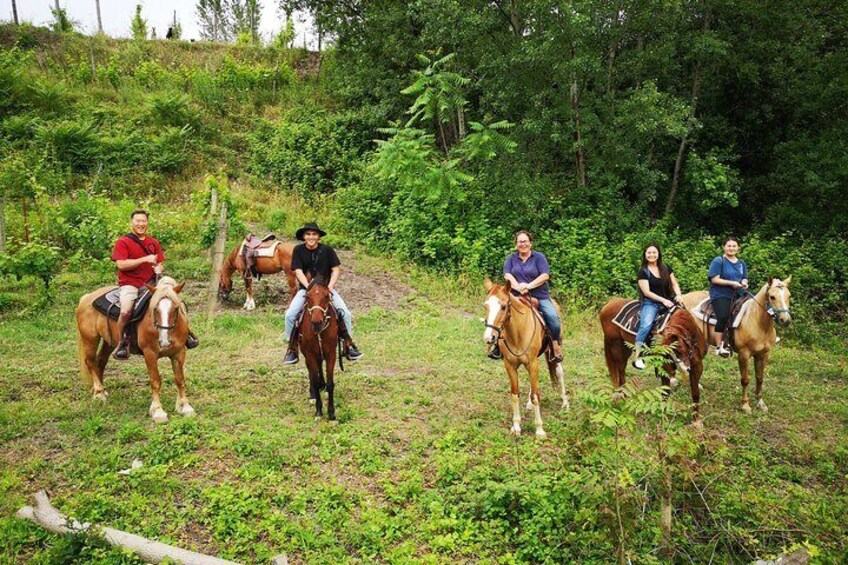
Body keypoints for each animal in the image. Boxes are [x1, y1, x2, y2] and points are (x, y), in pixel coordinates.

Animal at [75, 278, 195, 424]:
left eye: (176, 308)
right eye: (155, 309)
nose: (164, 341)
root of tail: (86, 298)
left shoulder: (179, 352)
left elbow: (180, 379)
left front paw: (184, 406)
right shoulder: (150, 354)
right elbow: (155, 381)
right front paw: (158, 411)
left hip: (109, 342)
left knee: (101, 361)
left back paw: (102, 390)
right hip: (90, 339)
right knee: (90, 362)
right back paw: (99, 393)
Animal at [298, 276, 338, 420]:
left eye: (326, 296)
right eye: (307, 297)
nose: (316, 323)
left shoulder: (331, 353)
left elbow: (331, 383)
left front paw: (331, 413)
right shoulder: (310, 354)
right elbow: (313, 379)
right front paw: (319, 411)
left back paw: (322, 385)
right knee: (311, 372)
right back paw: (313, 395)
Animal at [484, 280, 568, 438]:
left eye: (503, 306)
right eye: (485, 306)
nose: (489, 337)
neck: (517, 332)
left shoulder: (533, 363)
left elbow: (536, 396)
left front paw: (539, 430)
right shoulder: (510, 365)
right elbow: (515, 394)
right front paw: (516, 426)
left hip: (555, 353)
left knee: (559, 373)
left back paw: (565, 404)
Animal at [680, 276, 792, 412]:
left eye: (789, 295)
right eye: (772, 296)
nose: (785, 320)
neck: (757, 322)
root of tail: (683, 298)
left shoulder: (764, 354)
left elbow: (760, 378)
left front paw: (760, 403)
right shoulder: (744, 354)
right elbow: (745, 380)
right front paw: (745, 405)